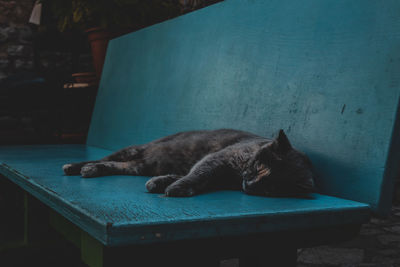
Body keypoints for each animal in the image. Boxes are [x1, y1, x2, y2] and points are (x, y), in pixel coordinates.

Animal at [62, 129, 316, 198]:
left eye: (270, 188)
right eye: (258, 167)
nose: (250, 184)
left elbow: (189, 176)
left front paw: (161, 183)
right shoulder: (218, 158)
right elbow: (198, 174)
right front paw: (176, 187)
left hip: (139, 166)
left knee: (117, 165)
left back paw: (91, 170)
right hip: (133, 149)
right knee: (104, 158)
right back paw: (76, 166)